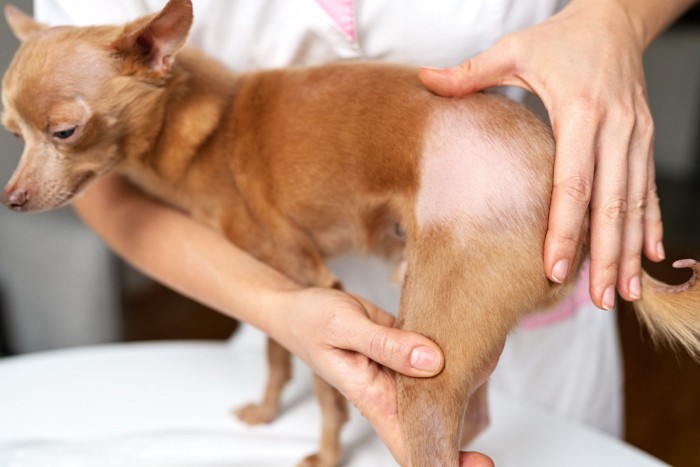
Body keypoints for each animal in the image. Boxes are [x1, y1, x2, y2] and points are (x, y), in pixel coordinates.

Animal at [1, 1, 700, 466]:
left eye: (64, 132)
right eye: (12, 134)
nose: (11, 199)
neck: (205, 134)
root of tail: (566, 178)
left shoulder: (306, 271)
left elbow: (323, 387)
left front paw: (327, 451)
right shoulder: (277, 284)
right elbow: (278, 354)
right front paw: (265, 412)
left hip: (430, 361)